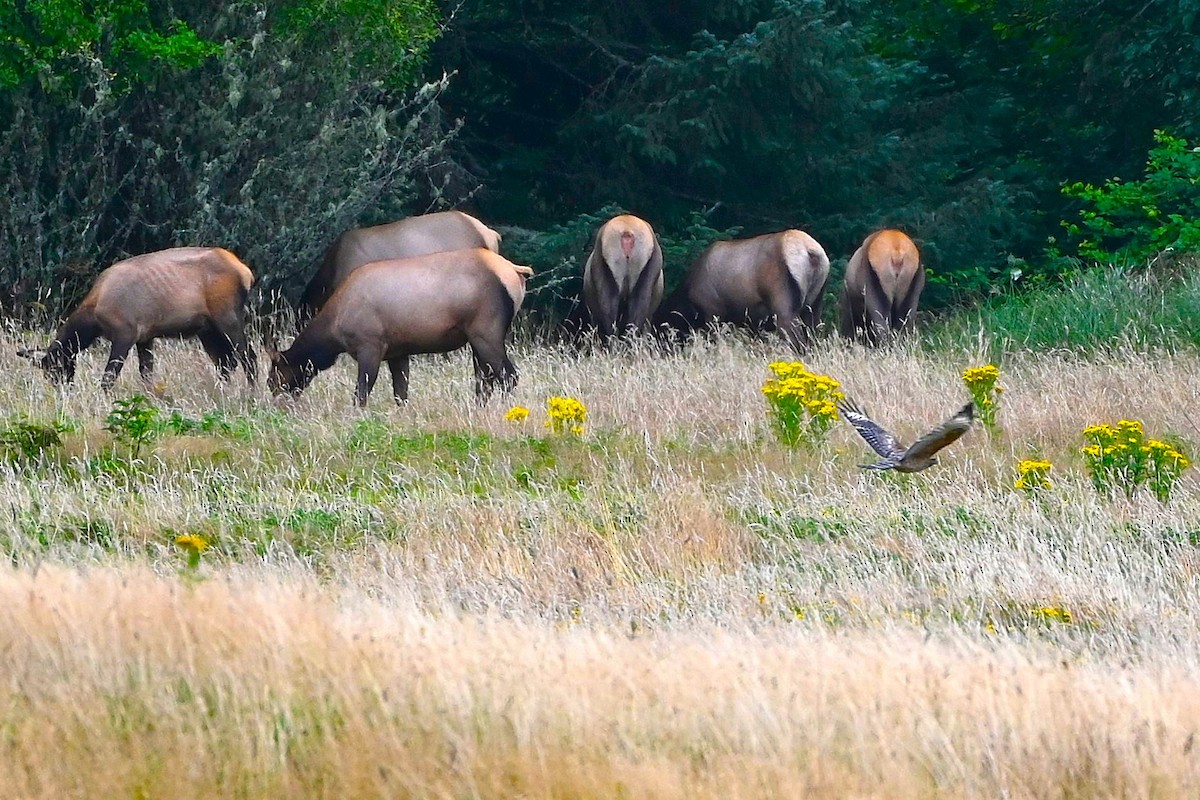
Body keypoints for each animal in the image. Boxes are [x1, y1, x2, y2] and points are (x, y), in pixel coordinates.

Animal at [17, 248, 256, 388]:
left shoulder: (126, 333)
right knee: (226, 362)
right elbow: (146, 374)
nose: (63, 391)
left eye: (56, 371)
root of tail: (246, 272)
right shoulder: (145, 337)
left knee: (248, 357)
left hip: (227, 317)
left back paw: (252, 394)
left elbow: (108, 378)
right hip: (207, 329)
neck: (93, 317)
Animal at [274, 247, 537, 407]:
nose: (273, 392)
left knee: (508, 376)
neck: (334, 330)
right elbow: (401, 393)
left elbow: (362, 391)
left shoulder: (370, 345)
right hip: (476, 338)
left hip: (486, 331)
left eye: (276, 373)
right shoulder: (398, 352)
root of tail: (516, 271)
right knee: (485, 379)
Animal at [652, 226, 830, 347]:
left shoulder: (712, 311)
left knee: (797, 340)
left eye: (662, 329)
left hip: (784, 303)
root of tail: (812, 253)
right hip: (815, 304)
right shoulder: (753, 320)